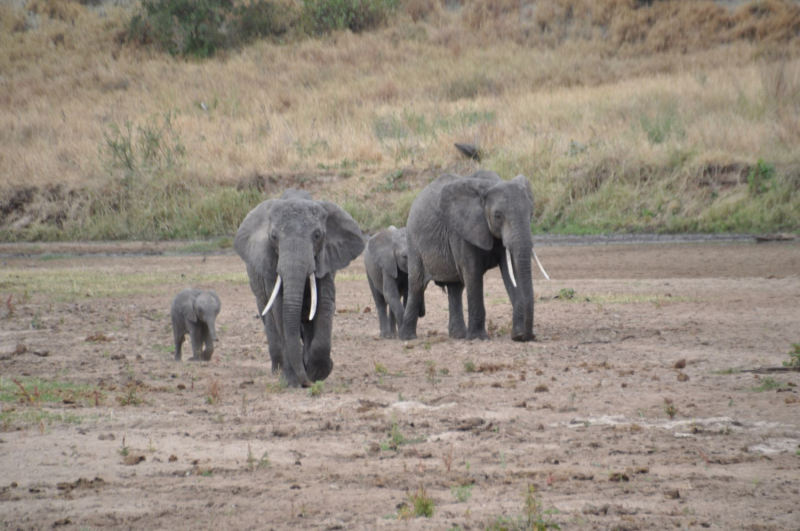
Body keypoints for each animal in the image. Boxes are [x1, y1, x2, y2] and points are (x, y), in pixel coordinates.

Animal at [234, 190, 366, 386]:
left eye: (317, 235)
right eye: (274, 237)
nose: (307, 382)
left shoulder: (326, 259)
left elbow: (324, 303)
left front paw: (317, 373)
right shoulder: (270, 263)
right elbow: (279, 309)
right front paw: (293, 381)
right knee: (269, 318)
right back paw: (278, 371)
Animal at [400, 172, 536, 342]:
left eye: (531, 213)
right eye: (497, 216)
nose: (526, 337)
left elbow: (511, 272)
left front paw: (517, 335)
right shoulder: (460, 230)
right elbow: (472, 270)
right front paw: (478, 338)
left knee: (455, 288)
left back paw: (458, 336)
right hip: (414, 243)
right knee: (417, 285)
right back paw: (408, 337)